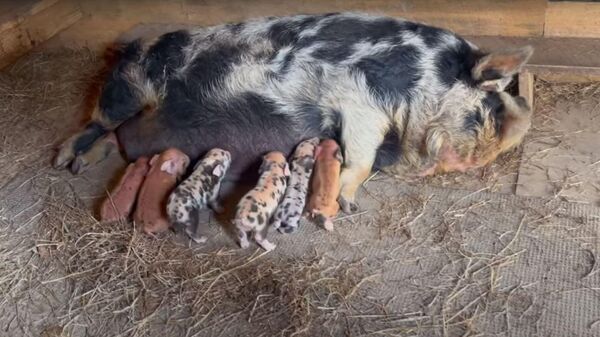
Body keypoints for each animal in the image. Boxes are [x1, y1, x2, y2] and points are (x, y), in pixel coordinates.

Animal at [56, 13, 532, 214]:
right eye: (494, 99)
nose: (525, 113)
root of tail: (127, 48)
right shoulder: (358, 102)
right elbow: (360, 159)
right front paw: (348, 204)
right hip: (126, 89)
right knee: (96, 122)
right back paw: (65, 162)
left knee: (119, 138)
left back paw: (83, 165)